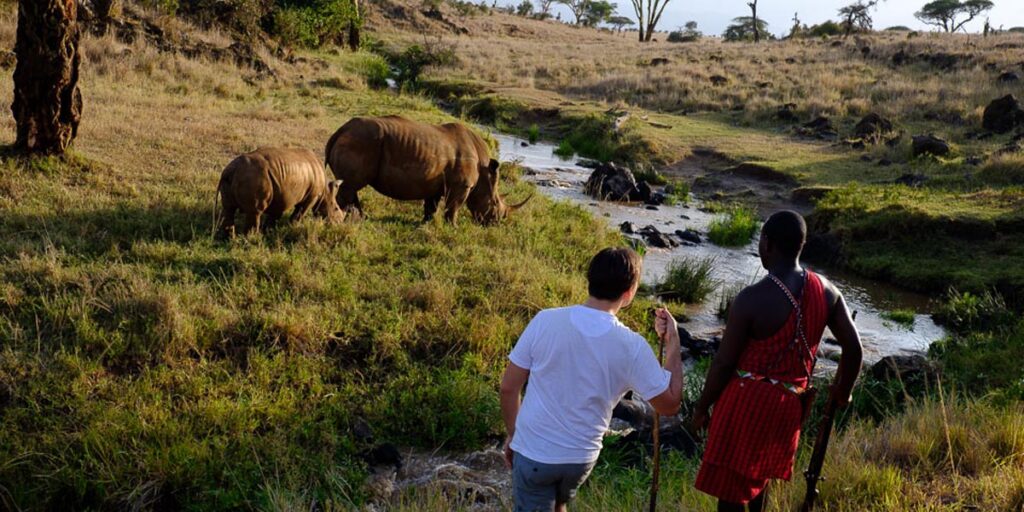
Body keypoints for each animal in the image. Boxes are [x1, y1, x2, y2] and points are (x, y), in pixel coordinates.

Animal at [217, 147, 345, 238]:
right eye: (336, 209)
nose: (339, 223)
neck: (325, 192)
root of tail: (231, 170)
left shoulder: (281, 193)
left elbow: (275, 214)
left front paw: (269, 230)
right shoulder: (311, 197)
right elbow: (300, 212)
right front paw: (293, 226)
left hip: (237, 178)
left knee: (228, 208)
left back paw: (229, 239)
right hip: (254, 178)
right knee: (255, 211)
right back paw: (253, 239)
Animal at [324, 116, 531, 224]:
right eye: (495, 203)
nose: (497, 222)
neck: (484, 172)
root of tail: (340, 131)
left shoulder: (435, 184)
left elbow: (431, 206)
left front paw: (427, 223)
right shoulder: (462, 186)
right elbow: (453, 207)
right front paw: (453, 227)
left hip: (358, 140)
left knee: (350, 187)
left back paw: (359, 218)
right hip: (361, 142)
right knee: (350, 186)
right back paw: (342, 219)